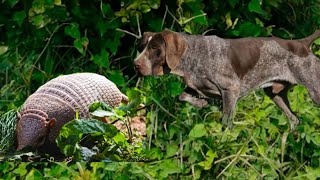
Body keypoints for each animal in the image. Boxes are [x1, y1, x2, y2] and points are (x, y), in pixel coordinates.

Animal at [134, 29, 320, 131]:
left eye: (155, 48)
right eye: (142, 47)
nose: (136, 64)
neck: (192, 57)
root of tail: (302, 44)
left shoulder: (230, 90)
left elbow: (226, 122)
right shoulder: (196, 87)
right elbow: (183, 96)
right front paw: (201, 103)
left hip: (315, 92)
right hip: (276, 95)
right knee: (294, 120)